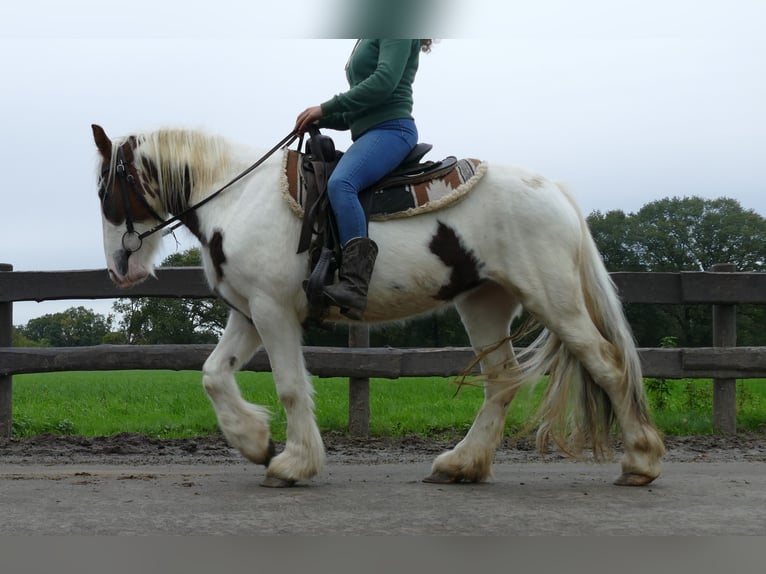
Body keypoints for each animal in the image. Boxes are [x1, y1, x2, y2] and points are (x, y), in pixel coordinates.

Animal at [91, 124, 664, 488]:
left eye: (105, 191)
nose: (119, 270)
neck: (237, 198)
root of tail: (556, 191)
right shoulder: (249, 312)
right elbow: (213, 374)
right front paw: (255, 442)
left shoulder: (273, 311)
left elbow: (290, 387)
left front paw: (292, 463)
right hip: (484, 302)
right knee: (501, 380)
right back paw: (462, 465)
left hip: (554, 298)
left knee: (609, 366)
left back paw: (641, 462)